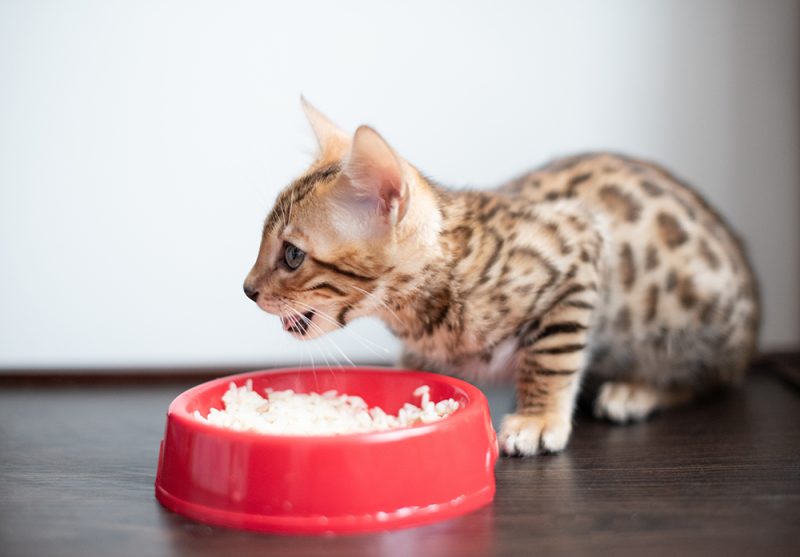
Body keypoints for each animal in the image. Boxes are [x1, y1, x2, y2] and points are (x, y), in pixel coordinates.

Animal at [245, 101, 764, 456]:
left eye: (291, 255)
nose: (247, 290)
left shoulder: (577, 251)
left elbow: (551, 357)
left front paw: (538, 417)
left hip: (694, 316)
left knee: (712, 377)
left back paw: (637, 389)